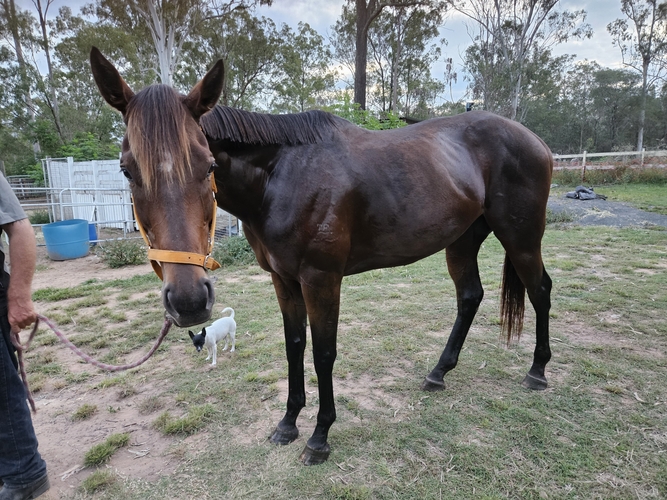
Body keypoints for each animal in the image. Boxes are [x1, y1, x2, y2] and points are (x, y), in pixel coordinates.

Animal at [90, 48, 553, 466]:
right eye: (127, 170)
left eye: (207, 166)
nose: (189, 300)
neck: (281, 176)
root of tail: (535, 141)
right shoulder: (283, 279)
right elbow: (294, 347)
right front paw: (288, 424)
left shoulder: (321, 279)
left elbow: (322, 353)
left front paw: (319, 437)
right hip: (461, 242)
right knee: (470, 297)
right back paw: (439, 372)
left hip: (521, 238)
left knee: (540, 291)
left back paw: (537, 371)